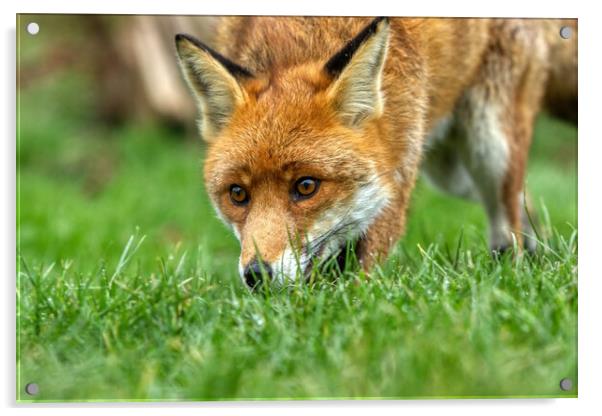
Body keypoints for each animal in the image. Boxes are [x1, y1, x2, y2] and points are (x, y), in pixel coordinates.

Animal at [172, 17, 572, 290]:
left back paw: (512, 268)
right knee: (521, 203)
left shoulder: (393, 182)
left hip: (488, 146)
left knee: (508, 219)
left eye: (306, 187)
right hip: (452, 173)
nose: (256, 275)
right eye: (238, 194)